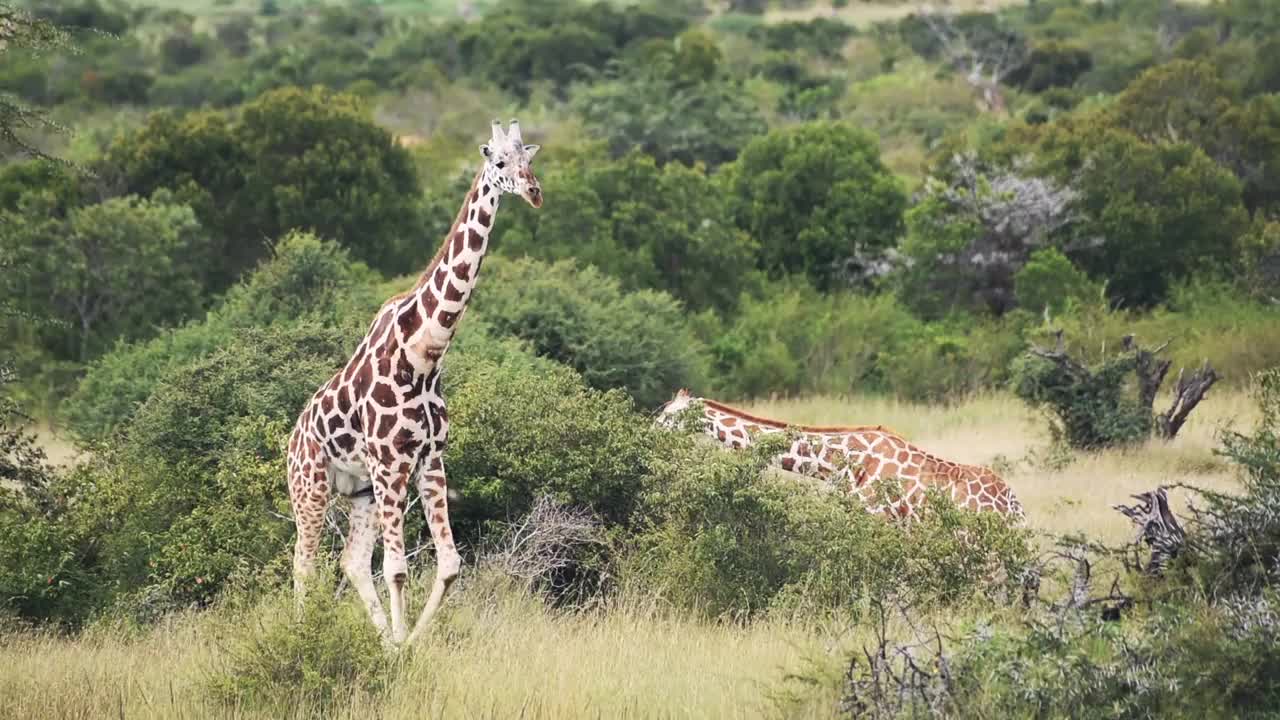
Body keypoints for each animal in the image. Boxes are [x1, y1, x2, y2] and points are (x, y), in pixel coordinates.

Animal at [288, 119, 542, 645]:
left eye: (530, 160)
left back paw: (384, 639)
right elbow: (398, 569)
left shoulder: (429, 461)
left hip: (360, 490)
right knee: (304, 564)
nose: (534, 192)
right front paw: (403, 646)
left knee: (350, 561)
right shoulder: (391, 463)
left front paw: (406, 645)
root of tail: (290, 439)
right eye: (499, 162)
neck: (424, 356)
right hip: (311, 487)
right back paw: (301, 636)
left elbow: (448, 564)